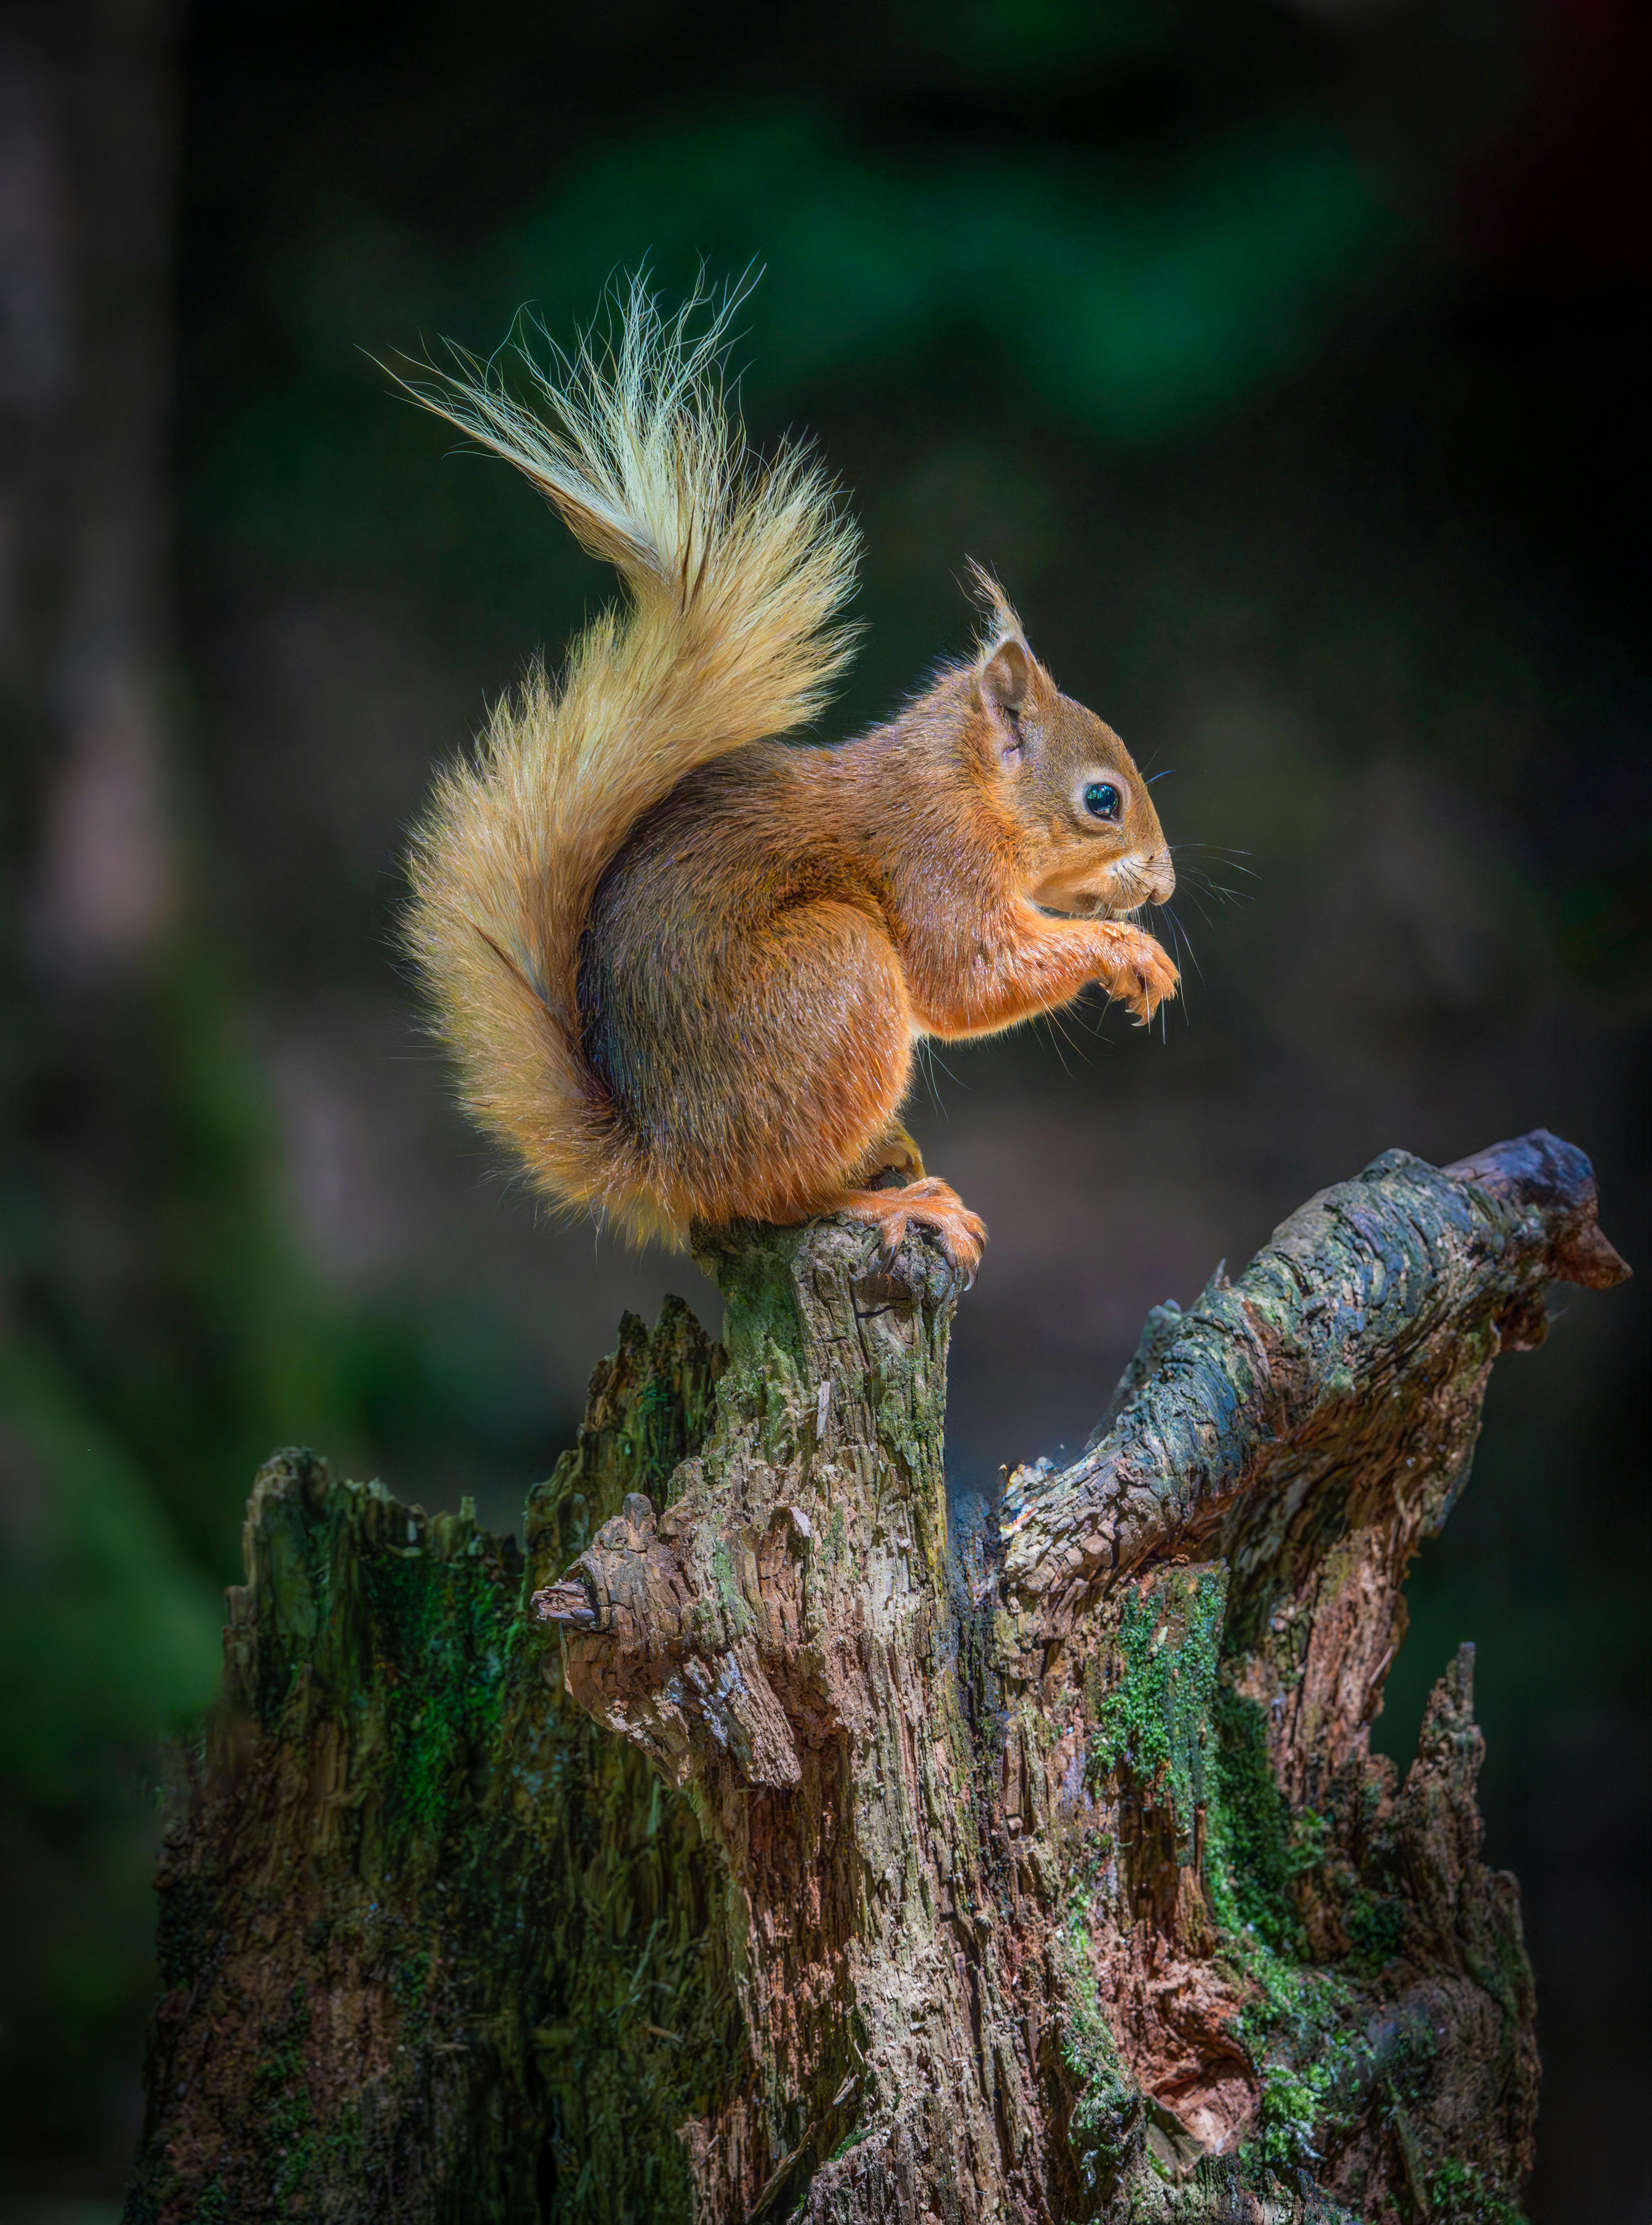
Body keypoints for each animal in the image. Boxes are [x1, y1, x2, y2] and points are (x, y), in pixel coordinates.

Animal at [401, 282, 1178, 1280]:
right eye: (1101, 800)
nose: (1162, 883)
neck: (959, 784)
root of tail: (667, 1163)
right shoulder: (934, 859)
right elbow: (968, 976)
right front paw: (1127, 954)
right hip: (834, 976)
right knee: (778, 1200)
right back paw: (894, 1203)